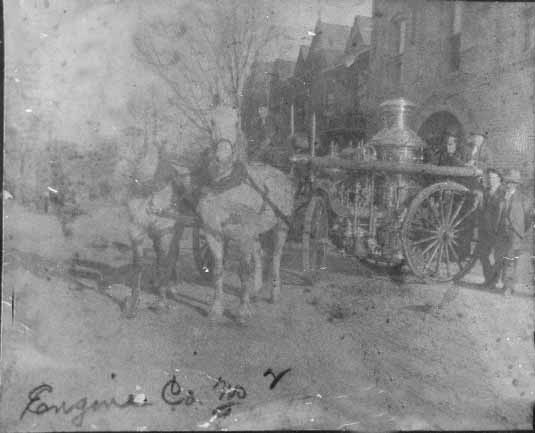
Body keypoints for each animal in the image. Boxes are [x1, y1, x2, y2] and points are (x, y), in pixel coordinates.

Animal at [196, 140, 295, 323]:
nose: (222, 159)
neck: (225, 189)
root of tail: (283, 175)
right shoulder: (212, 233)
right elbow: (218, 269)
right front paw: (216, 309)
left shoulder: (243, 235)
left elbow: (243, 271)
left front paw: (242, 311)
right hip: (255, 233)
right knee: (259, 252)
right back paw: (256, 290)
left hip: (281, 226)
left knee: (276, 257)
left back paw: (274, 294)